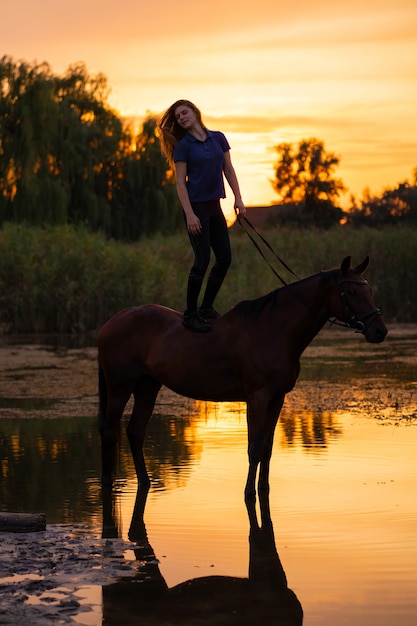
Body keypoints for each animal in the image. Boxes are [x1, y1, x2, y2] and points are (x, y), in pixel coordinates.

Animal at [97, 255, 386, 498]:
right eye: (351, 292)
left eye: (370, 290)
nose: (379, 331)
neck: (273, 330)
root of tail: (109, 322)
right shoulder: (257, 398)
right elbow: (254, 448)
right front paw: (249, 493)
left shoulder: (277, 398)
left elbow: (267, 448)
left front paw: (264, 489)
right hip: (120, 388)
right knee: (109, 432)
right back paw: (108, 483)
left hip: (147, 387)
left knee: (135, 432)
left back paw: (145, 483)